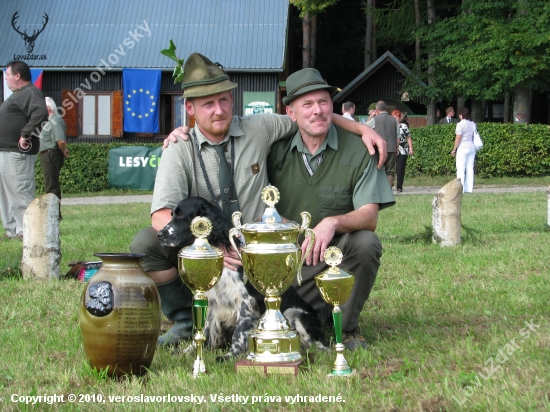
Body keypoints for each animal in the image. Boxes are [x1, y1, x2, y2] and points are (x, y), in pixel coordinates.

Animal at [157, 196, 326, 360]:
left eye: (181, 215)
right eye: (172, 214)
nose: (159, 235)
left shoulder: (245, 301)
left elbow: (239, 332)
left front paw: (230, 356)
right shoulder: (212, 302)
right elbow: (204, 329)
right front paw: (188, 351)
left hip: (294, 313)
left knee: (318, 345)